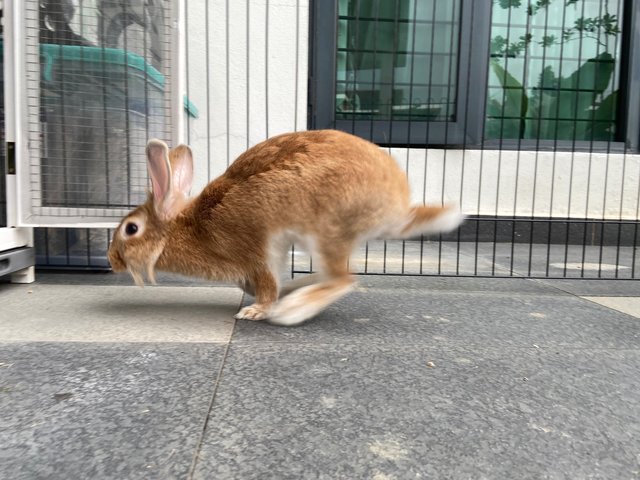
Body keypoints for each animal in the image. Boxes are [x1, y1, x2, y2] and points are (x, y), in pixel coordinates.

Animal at [107, 129, 462, 326]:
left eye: (130, 229)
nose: (112, 261)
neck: (187, 227)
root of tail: (398, 207)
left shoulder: (256, 251)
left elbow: (265, 285)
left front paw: (255, 312)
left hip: (326, 229)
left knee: (343, 279)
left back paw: (292, 309)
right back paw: (295, 291)